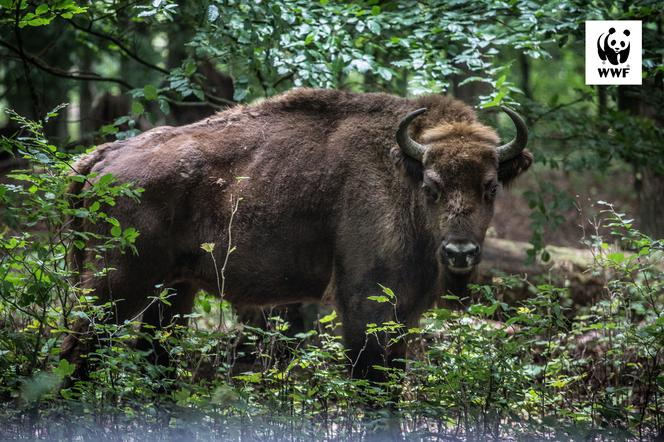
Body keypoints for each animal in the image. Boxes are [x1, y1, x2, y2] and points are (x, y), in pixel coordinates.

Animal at [61, 87, 528, 380]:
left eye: (490, 187)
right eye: (432, 187)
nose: (460, 252)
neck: (401, 171)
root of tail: (102, 158)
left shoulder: (405, 313)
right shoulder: (363, 306)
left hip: (173, 289)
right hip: (116, 285)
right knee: (77, 352)